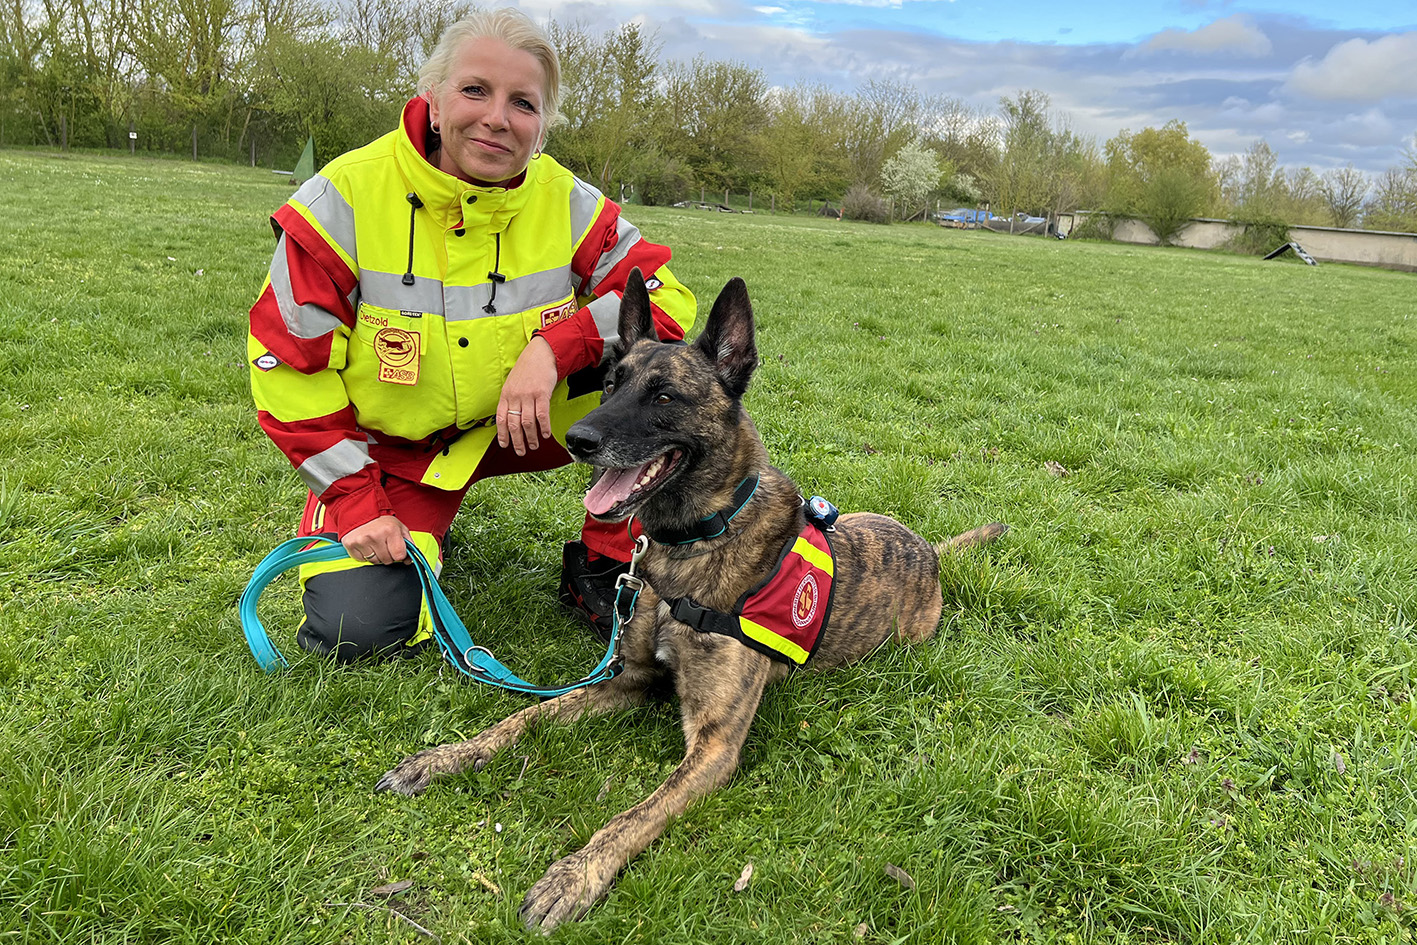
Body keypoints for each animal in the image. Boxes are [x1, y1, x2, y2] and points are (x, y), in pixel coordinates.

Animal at [371, 267, 1003, 929]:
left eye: (665, 397)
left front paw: (574, 877)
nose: (577, 439)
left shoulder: (715, 746)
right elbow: (524, 716)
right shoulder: (627, 679)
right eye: (611, 384)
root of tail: (929, 549)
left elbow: (634, 814)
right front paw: (442, 759)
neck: (693, 543)